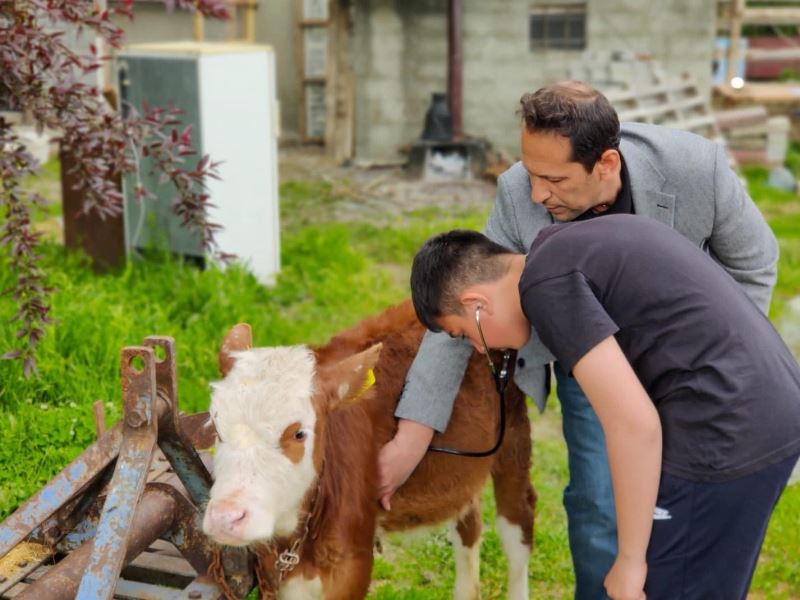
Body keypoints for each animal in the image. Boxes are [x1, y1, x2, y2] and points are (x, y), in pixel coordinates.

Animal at [203, 302, 536, 596]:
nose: (225, 517)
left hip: (513, 433)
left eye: (299, 433)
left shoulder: (353, 563)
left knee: (517, 524)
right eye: (216, 427)